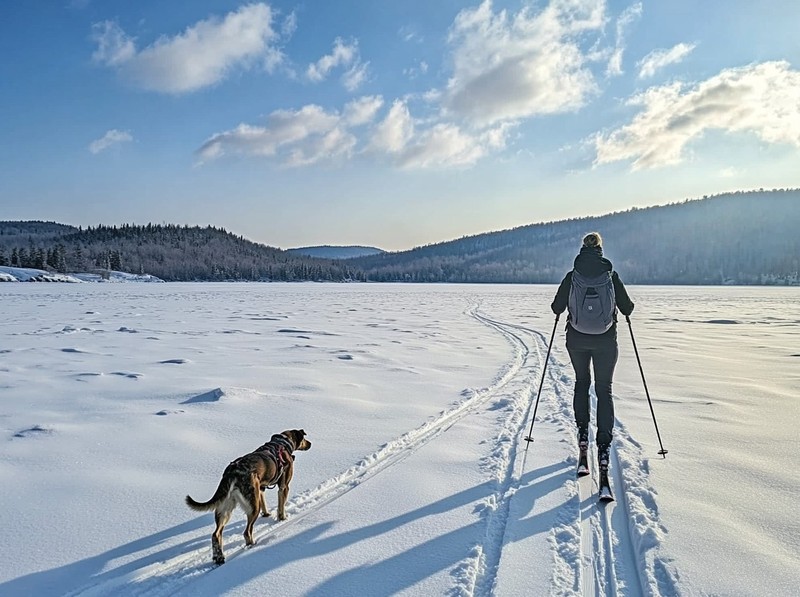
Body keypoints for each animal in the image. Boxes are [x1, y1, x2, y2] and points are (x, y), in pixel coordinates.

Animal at [186, 428, 310, 564]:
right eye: (304, 439)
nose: (310, 444)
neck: (282, 442)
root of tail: (231, 472)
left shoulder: (260, 488)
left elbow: (264, 503)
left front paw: (266, 514)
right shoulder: (284, 486)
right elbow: (281, 507)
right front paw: (282, 518)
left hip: (225, 508)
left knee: (216, 534)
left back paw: (219, 557)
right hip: (253, 506)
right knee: (247, 532)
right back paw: (252, 545)